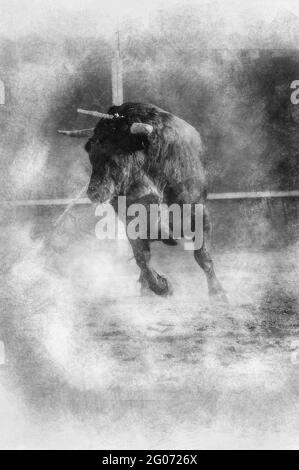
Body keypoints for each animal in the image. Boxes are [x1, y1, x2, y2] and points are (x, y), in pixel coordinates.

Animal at [64, 103, 226, 302]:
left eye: (116, 151)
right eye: (91, 153)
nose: (94, 192)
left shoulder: (198, 212)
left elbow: (202, 255)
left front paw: (217, 292)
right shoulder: (131, 221)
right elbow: (142, 257)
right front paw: (162, 287)